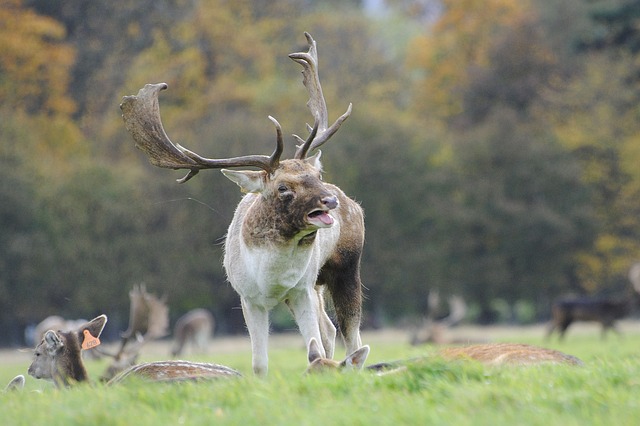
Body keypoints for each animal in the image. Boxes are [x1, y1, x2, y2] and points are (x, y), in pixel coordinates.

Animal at [121, 32, 364, 376]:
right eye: (282, 187)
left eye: (316, 174)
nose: (329, 200)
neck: (271, 278)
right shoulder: (249, 298)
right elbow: (260, 363)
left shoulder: (300, 290)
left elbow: (311, 346)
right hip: (316, 286)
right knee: (330, 329)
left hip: (345, 268)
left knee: (351, 334)